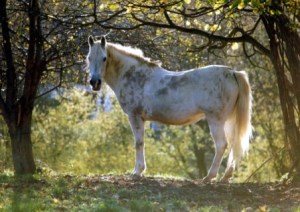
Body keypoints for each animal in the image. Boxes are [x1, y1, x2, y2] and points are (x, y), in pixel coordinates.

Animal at [85, 36, 252, 182]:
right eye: (89, 58)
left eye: (104, 58)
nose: (94, 82)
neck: (133, 75)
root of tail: (232, 72)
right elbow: (141, 142)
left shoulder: (135, 116)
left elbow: (139, 143)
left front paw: (137, 171)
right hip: (229, 121)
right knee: (233, 144)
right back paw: (226, 177)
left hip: (215, 120)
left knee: (221, 145)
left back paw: (209, 177)